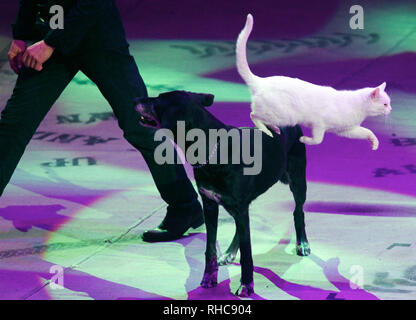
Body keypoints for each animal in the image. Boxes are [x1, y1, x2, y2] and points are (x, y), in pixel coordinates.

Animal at [135, 91, 310, 296]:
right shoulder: (210, 204)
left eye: (158, 99)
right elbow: (210, 248)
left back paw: (303, 244)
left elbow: (247, 252)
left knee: (298, 211)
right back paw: (228, 253)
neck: (211, 147)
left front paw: (246, 284)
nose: (135, 100)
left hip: (297, 180)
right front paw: (209, 277)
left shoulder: (239, 207)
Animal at [236, 13, 392, 150]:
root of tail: (260, 81)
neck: (359, 109)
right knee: (253, 115)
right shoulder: (319, 123)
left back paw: (272, 128)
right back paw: (266, 130)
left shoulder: (346, 130)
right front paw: (304, 140)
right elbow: (318, 139)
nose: (390, 109)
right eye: (385, 104)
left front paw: (374, 143)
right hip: (284, 116)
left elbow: (367, 131)